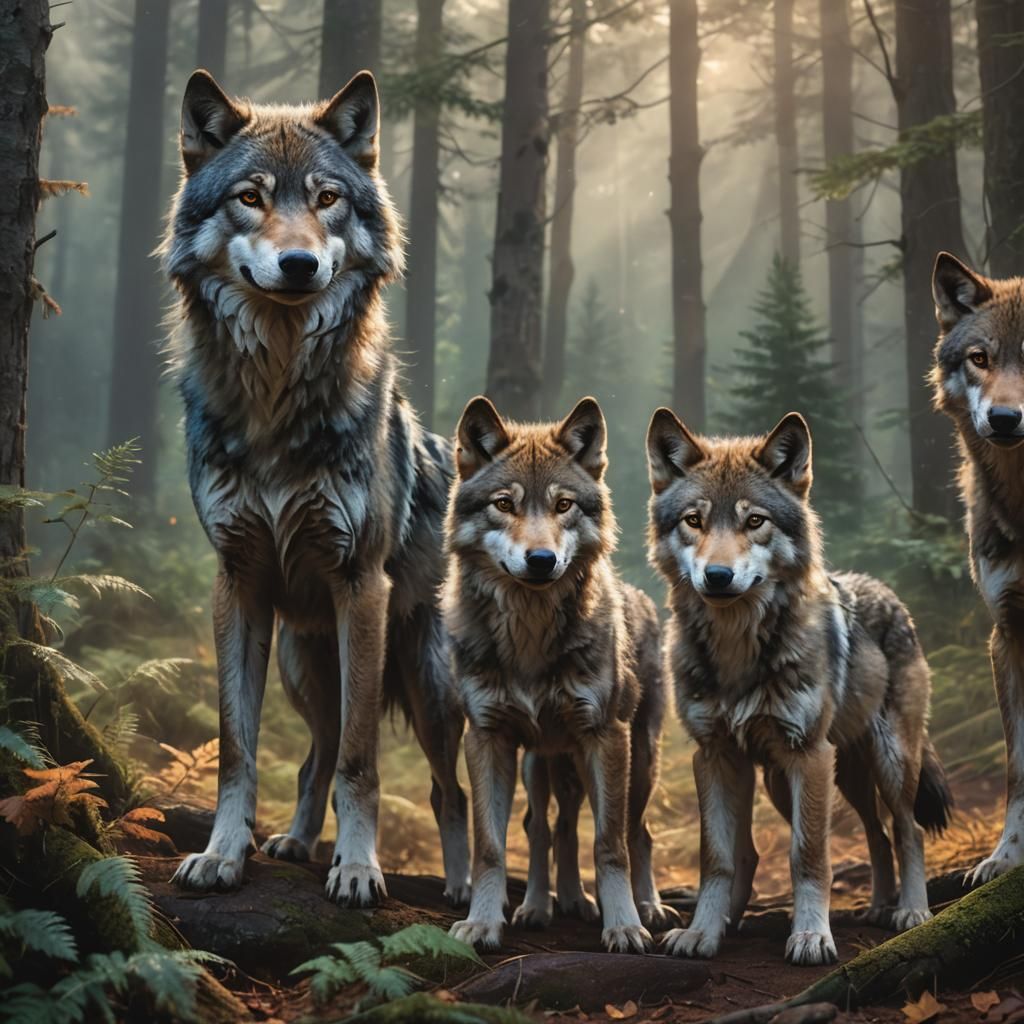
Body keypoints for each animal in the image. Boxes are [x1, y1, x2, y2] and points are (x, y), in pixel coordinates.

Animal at [160, 69, 470, 907]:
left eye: (327, 198)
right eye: (251, 197)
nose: (298, 264)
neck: (274, 395)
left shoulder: (359, 585)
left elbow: (364, 763)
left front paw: (359, 868)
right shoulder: (236, 583)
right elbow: (238, 748)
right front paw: (222, 854)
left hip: (430, 686)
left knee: (449, 789)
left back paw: (467, 888)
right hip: (307, 668)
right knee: (314, 756)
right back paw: (297, 842)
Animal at [443, 396, 677, 953]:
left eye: (564, 505)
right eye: (504, 504)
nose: (541, 560)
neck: (530, 638)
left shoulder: (604, 736)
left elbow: (610, 844)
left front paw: (624, 926)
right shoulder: (487, 736)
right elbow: (491, 845)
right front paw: (483, 922)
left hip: (638, 760)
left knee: (636, 832)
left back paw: (645, 906)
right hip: (540, 762)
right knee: (546, 826)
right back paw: (542, 905)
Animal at [646, 410, 951, 965]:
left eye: (755, 521)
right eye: (694, 521)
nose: (717, 576)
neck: (737, 649)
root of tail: (888, 592)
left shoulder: (806, 753)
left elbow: (808, 857)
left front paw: (811, 936)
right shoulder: (715, 754)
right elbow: (718, 858)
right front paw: (703, 932)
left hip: (884, 761)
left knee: (906, 829)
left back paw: (911, 912)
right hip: (800, 778)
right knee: (871, 835)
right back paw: (876, 906)